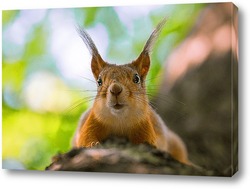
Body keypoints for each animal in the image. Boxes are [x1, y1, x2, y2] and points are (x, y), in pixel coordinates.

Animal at [73, 19, 192, 165]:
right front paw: (93, 144)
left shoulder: (145, 126)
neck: (119, 121)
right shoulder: (91, 122)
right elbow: (85, 139)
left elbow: (147, 142)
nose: (115, 89)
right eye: (99, 81)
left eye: (136, 78)